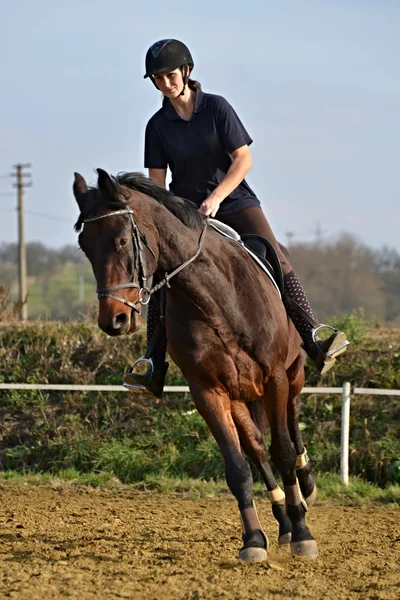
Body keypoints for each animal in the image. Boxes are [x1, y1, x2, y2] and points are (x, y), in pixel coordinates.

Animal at [72, 168, 318, 564]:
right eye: (85, 246)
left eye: (122, 240)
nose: (114, 320)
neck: (213, 297)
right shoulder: (208, 391)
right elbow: (237, 467)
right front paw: (254, 540)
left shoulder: (275, 378)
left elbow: (282, 451)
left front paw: (303, 534)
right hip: (241, 393)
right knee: (257, 446)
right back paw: (282, 521)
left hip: (292, 374)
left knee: (292, 430)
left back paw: (305, 487)